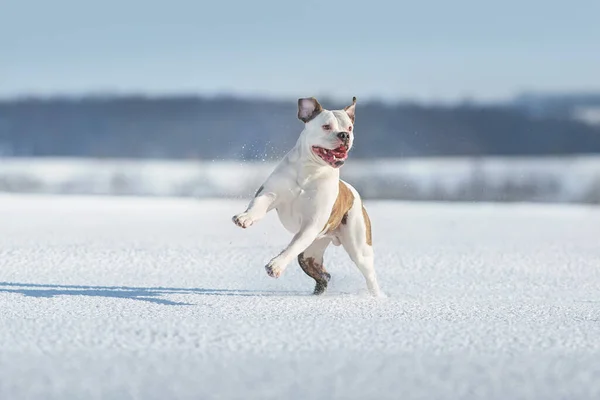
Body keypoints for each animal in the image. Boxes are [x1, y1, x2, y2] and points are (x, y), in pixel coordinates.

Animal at [232, 97, 382, 296]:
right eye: (326, 126)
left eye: (349, 128)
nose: (344, 135)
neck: (310, 170)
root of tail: (351, 190)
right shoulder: (270, 193)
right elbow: (257, 205)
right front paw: (245, 217)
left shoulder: (312, 224)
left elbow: (294, 244)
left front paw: (276, 265)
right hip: (309, 255)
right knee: (324, 275)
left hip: (359, 248)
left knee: (369, 276)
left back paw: (377, 297)